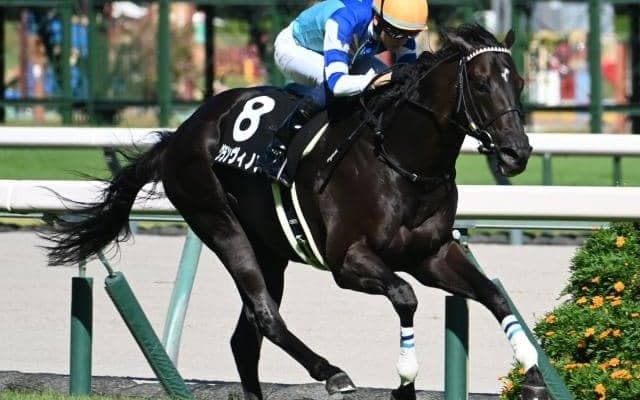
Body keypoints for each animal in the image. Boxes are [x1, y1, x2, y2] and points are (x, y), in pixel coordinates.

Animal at [45, 24, 547, 400]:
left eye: (520, 82)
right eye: (481, 83)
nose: (517, 152)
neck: (403, 162)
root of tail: (181, 132)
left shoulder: (433, 254)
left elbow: (494, 295)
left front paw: (533, 374)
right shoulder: (348, 260)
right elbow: (405, 296)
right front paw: (405, 378)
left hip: (271, 250)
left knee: (245, 338)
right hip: (218, 222)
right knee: (265, 315)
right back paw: (332, 372)